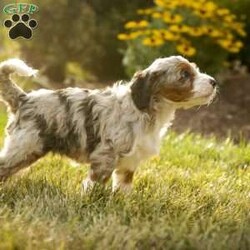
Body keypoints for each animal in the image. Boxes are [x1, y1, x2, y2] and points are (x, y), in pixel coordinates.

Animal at [0, 56, 216, 192]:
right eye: (184, 75)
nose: (213, 82)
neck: (145, 111)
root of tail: (24, 98)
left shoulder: (129, 162)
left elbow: (123, 187)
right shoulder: (105, 156)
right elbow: (95, 185)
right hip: (24, 147)